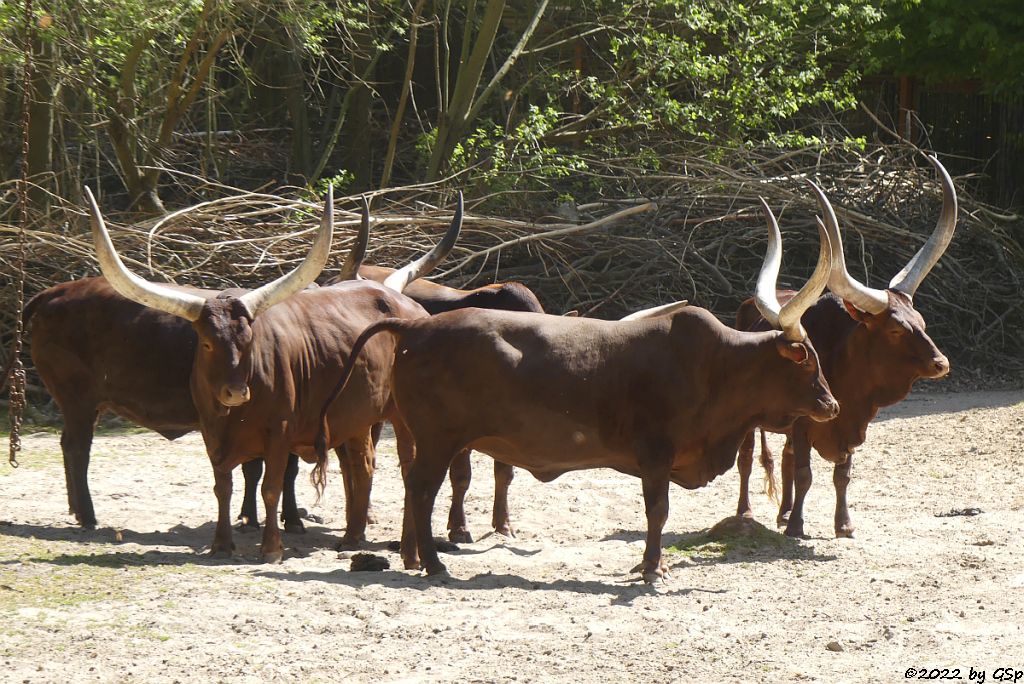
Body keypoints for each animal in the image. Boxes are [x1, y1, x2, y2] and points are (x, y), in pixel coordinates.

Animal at [86, 187, 462, 561]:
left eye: (250, 340)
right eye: (206, 343)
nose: (236, 392)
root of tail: (410, 307)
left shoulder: (280, 430)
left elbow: (271, 486)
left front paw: (271, 548)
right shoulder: (211, 432)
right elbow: (223, 486)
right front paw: (221, 544)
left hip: (401, 417)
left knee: (406, 470)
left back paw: (407, 549)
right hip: (358, 415)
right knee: (362, 466)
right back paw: (352, 537)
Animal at [317, 198, 839, 581]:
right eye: (808, 358)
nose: (830, 404)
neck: (715, 366)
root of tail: (415, 327)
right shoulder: (656, 454)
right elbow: (658, 511)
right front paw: (653, 569)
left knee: (415, 487)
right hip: (438, 439)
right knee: (422, 489)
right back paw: (434, 563)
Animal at [733, 156, 954, 540]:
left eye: (922, 321)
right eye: (895, 329)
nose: (941, 363)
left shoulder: (848, 422)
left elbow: (842, 475)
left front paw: (843, 524)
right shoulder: (807, 422)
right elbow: (806, 473)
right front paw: (797, 527)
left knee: (786, 457)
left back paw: (783, 512)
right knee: (748, 457)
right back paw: (747, 512)